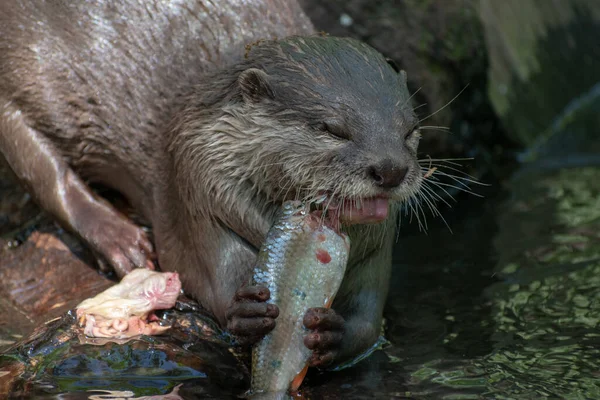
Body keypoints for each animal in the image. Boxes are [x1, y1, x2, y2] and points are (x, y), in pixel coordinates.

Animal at [0, 0, 422, 368]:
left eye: (410, 130)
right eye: (333, 129)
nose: (390, 169)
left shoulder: (376, 246)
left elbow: (369, 324)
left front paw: (336, 333)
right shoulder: (199, 190)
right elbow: (215, 283)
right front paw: (245, 312)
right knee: (45, 173)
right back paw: (122, 241)